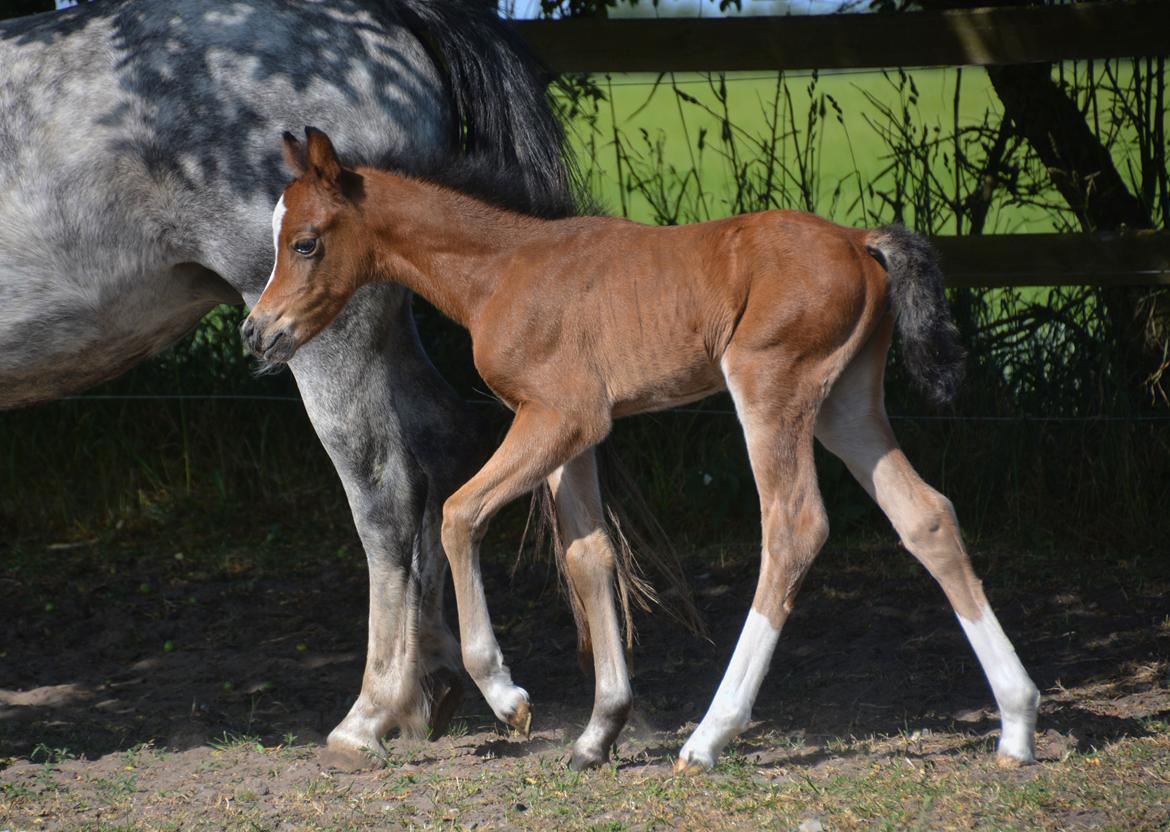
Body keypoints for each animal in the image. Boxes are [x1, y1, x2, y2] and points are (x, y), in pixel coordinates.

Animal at [243, 126, 1042, 772]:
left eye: (305, 242)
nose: (258, 333)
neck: (503, 269)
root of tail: (858, 241)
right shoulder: (573, 434)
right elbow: (589, 556)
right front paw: (599, 733)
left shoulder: (557, 416)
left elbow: (460, 514)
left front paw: (507, 698)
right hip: (846, 404)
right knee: (926, 515)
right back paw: (1017, 726)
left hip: (771, 388)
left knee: (794, 528)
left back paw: (709, 738)